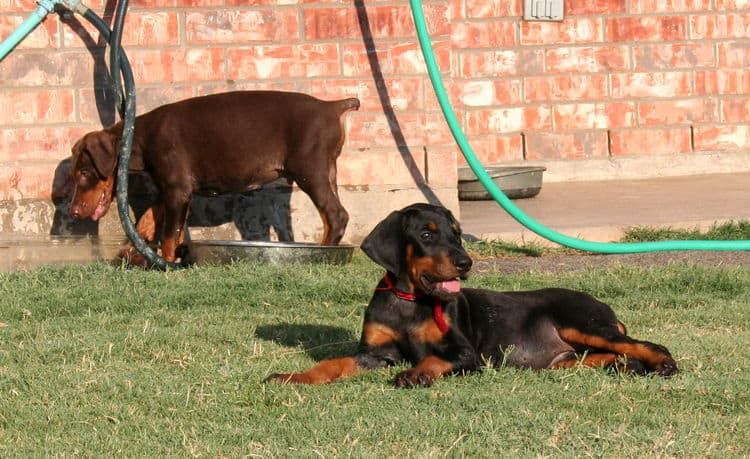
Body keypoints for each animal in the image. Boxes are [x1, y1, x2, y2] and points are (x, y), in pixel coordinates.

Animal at [70, 90, 362, 262]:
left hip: (310, 171)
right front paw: (137, 246)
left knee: (336, 216)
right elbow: (152, 218)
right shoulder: (174, 190)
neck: (138, 136)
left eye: (84, 172)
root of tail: (331, 107)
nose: (73, 212)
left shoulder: (177, 189)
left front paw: (166, 263)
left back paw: (325, 252)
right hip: (328, 172)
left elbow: (169, 235)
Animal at [266, 203, 680, 386]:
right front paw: (293, 376)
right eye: (427, 234)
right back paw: (623, 366)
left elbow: (434, 359)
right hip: (563, 358)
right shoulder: (373, 355)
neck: (411, 301)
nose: (466, 262)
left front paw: (415, 375)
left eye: (458, 233)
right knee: (603, 356)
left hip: (583, 323)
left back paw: (662, 364)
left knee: (644, 344)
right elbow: (331, 363)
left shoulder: (466, 354)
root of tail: (603, 305)